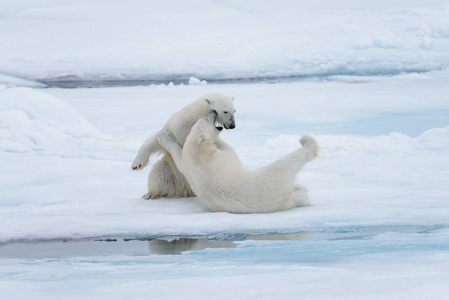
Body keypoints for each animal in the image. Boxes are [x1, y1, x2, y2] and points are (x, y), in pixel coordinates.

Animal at [158, 110, 318, 213]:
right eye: (206, 119)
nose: (213, 111)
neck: (197, 152)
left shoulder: (189, 165)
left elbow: (179, 161)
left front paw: (163, 136)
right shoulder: (215, 157)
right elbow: (232, 154)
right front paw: (164, 136)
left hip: (282, 201)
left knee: (296, 198)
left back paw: (300, 189)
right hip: (272, 178)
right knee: (288, 163)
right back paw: (307, 143)